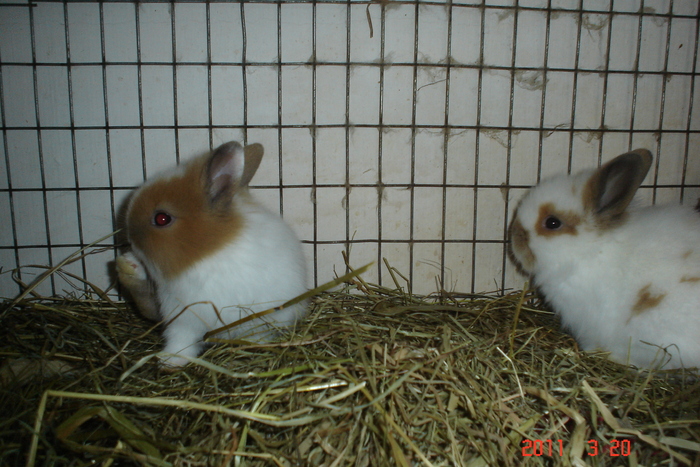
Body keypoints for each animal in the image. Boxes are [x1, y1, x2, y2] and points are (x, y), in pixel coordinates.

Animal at [116, 141, 308, 368]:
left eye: (162, 218)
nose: (130, 236)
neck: (203, 252)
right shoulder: (182, 317)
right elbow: (180, 342)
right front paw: (169, 361)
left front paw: (167, 362)